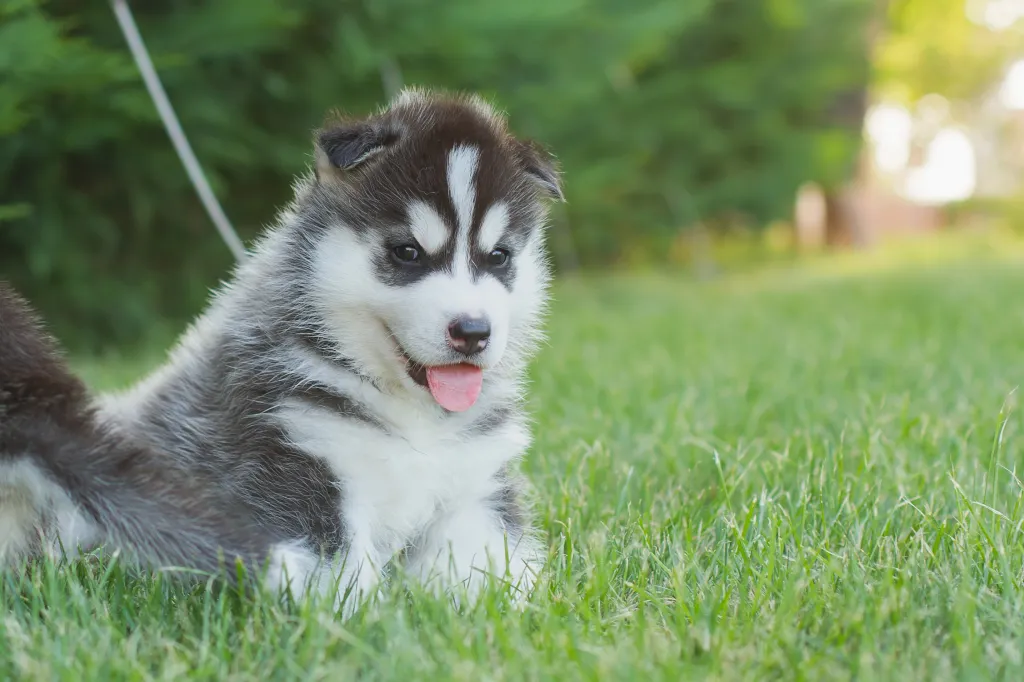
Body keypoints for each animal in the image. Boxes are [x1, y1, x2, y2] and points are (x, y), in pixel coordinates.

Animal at [96, 86, 565, 610]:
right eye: (407, 252)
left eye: (499, 256)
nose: (472, 331)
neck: (413, 417)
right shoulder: (299, 463)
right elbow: (342, 576)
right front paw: (364, 621)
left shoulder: (474, 484)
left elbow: (492, 569)